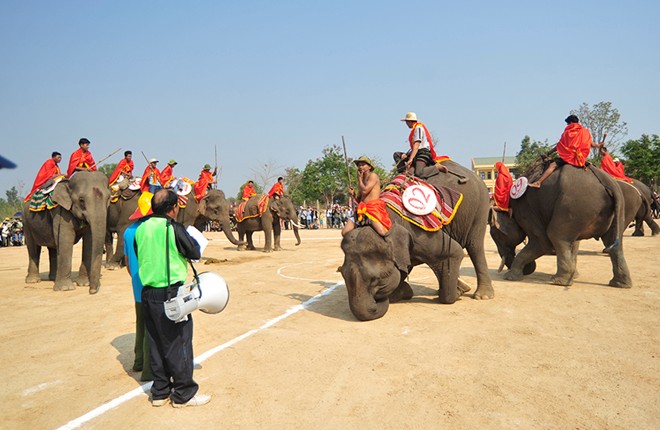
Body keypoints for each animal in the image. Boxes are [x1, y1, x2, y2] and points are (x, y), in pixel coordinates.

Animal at [340, 160, 496, 320]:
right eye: (342, 274)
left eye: (380, 278)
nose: (378, 300)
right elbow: (406, 267)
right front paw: (402, 293)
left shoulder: (421, 233)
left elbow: (455, 252)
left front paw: (455, 296)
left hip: (482, 205)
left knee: (474, 246)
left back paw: (482, 296)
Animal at [488, 164, 632, 288]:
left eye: (496, 236)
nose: (529, 267)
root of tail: (609, 182)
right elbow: (574, 243)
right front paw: (575, 276)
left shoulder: (525, 210)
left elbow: (542, 243)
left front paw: (510, 277)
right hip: (609, 211)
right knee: (614, 243)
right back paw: (620, 284)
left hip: (573, 205)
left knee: (556, 235)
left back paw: (558, 281)